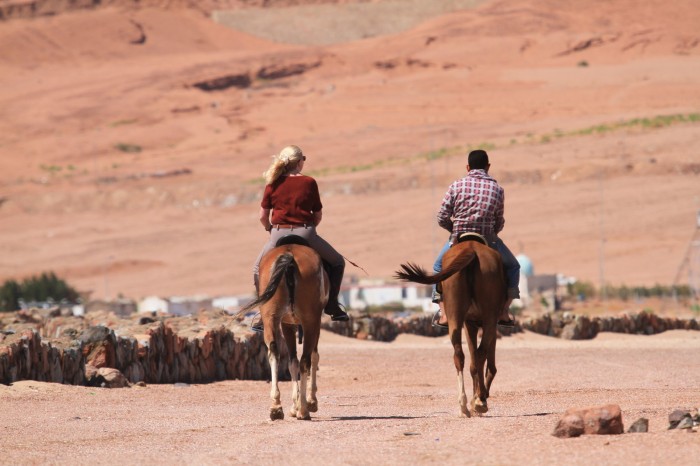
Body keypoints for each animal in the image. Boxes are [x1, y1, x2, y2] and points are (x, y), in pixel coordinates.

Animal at [241, 240, 328, 422]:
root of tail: (289, 254)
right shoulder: (312, 324)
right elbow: (312, 358)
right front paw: (309, 402)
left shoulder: (287, 324)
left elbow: (291, 362)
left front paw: (294, 405)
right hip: (310, 321)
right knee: (305, 360)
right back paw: (304, 410)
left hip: (270, 318)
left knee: (274, 352)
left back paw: (276, 407)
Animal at [396, 238, 506, 416]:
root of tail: (471, 250)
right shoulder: (481, 323)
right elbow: (488, 364)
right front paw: (480, 398)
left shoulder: (469, 323)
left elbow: (474, 359)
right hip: (489, 315)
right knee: (480, 354)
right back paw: (479, 401)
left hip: (455, 311)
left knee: (459, 354)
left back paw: (464, 404)